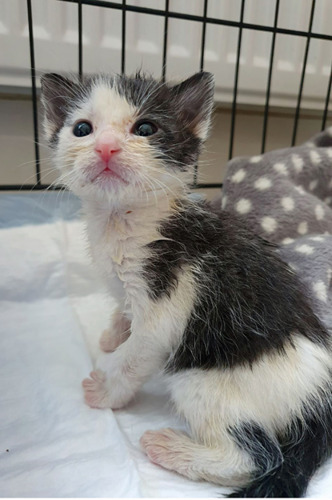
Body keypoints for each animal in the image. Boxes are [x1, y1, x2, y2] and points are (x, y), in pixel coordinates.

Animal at [41, 72, 332, 498]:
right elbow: (123, 308)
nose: (106, 147)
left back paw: (171, 449)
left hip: (204, 381)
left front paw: (107, 391)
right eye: (82, 129)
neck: (126, 219)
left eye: (146, 128)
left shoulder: (165, 298)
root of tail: (321, 406)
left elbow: (135, 355)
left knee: (254, 458)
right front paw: (114, 332)